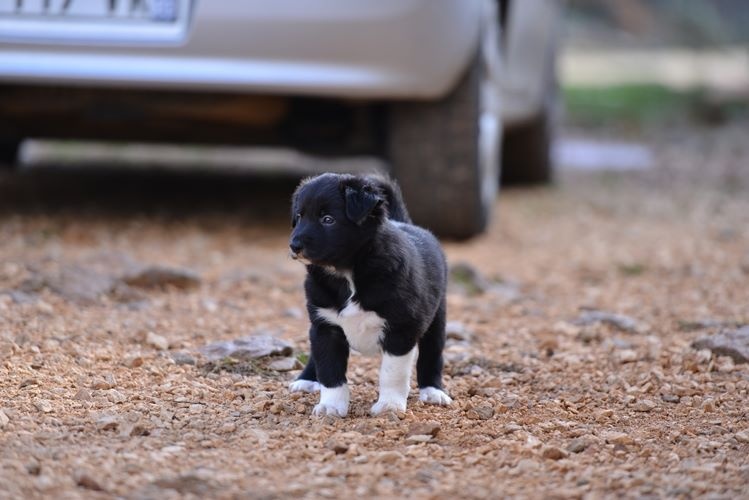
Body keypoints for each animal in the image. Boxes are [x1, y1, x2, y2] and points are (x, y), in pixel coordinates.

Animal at [286, 174, 450, 416]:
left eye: (328, 219)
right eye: (299, 216)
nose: (294, 245)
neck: (346, 275)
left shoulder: (401, 330)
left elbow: (393, 373)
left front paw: (389, 405)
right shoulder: (325, 327)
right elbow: (329, 370)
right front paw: (330, 406)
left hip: (437, 319)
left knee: (432, 355)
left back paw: (433, 391)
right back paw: (306, 380)